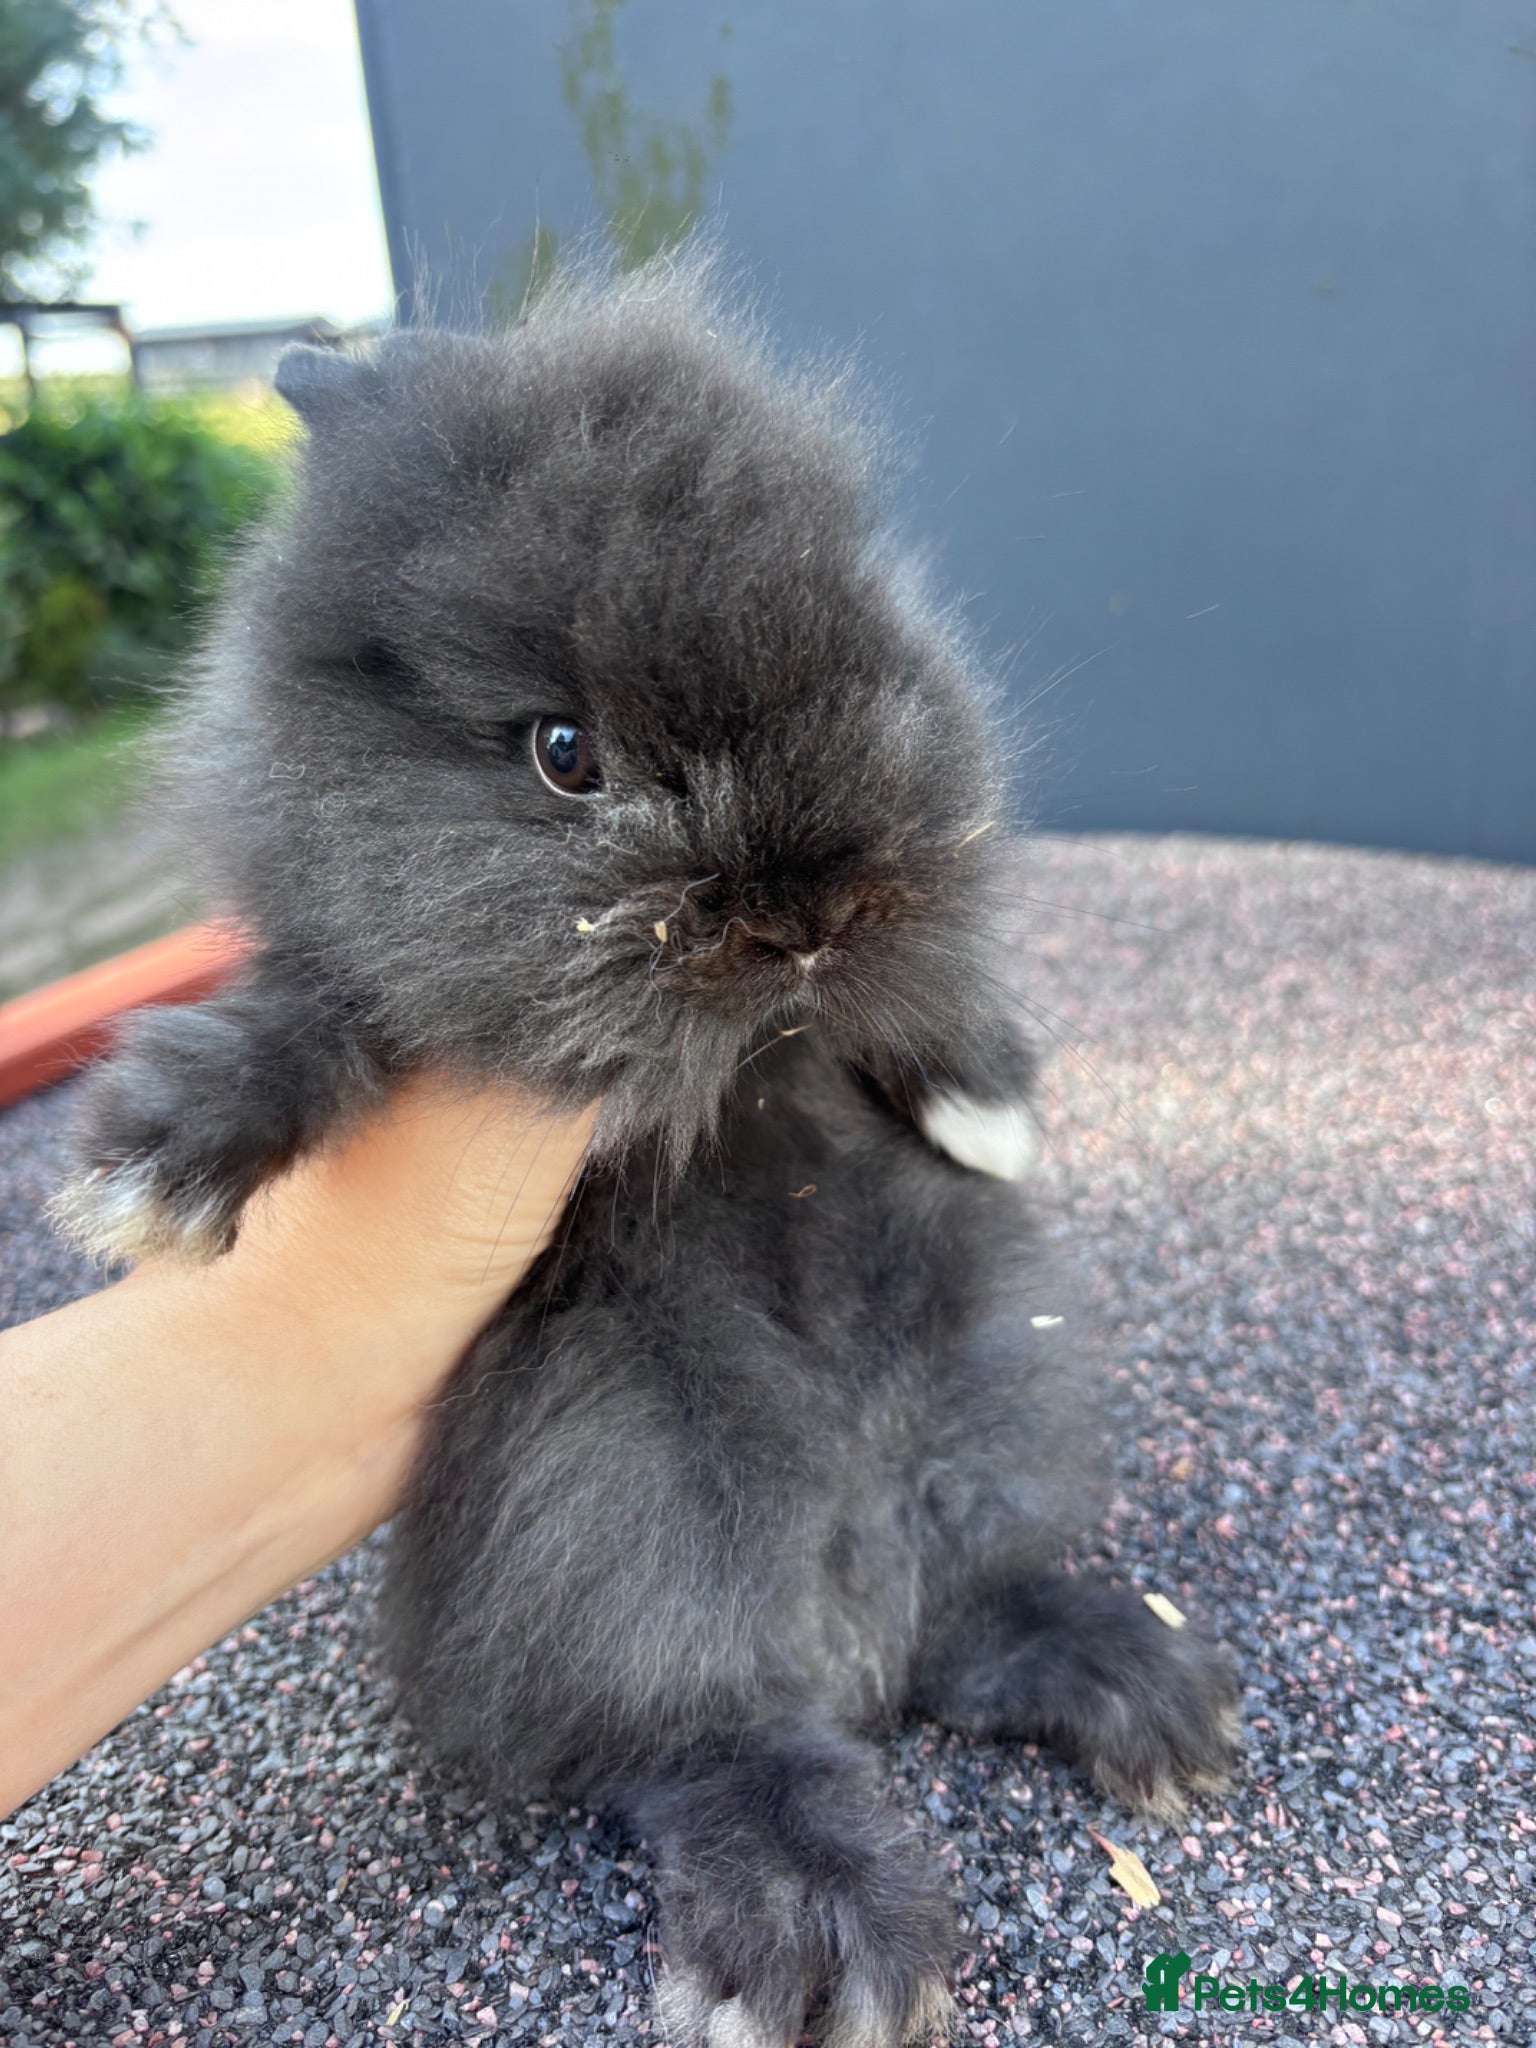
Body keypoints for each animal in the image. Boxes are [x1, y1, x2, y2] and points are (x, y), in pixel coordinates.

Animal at [53, 252, 1239, 2048]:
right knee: (706, 1737)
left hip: (993, 1388)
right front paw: (157, 1167)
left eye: (861, 641)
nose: (808, 909)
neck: (748, 1068)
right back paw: (819, 1930)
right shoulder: (378, 984)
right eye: (566, 754)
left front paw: (986, 1099)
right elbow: (321, 1012)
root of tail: (844, 1598)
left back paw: (1139, 1684)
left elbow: (930, 1015)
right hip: (617, 1502)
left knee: (962, 1625)